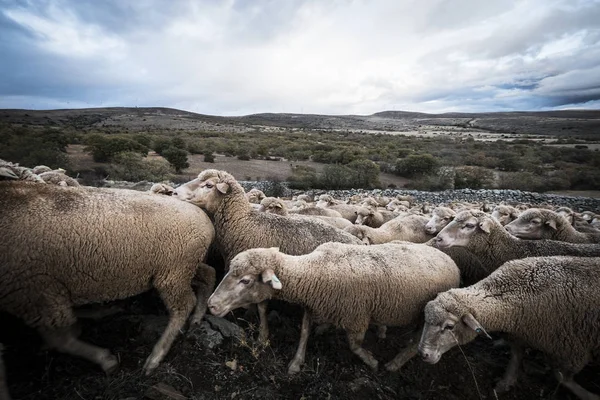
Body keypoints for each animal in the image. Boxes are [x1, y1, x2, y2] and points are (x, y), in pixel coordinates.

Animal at [0, 181, 216, 376]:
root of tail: (203, 217)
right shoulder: (40, 295)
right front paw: (98, 315)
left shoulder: (36, 293)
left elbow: (61, 341)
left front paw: (106, 360)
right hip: (184, 267)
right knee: (209, 275)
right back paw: (197, 317)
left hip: (173, 272)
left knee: (183, 306)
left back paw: (155, 356)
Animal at [173, 168, 360, 340]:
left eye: (209, 185)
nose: (174, 192)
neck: (243, 223)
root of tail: (357, 241)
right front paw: (248, 312)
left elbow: (262, 307)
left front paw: (262, 334)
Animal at [206, 241, 460, 376]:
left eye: (246, 281)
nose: (211, 305)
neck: (316, 270)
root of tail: (447, 257)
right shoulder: (314, 304)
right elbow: (304, 332)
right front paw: (296, 363)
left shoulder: (357, 317)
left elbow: (354, 345)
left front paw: (372, 362)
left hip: (430, 315)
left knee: (418, 339)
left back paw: (394, 363)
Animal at [418, 256, 600, 400]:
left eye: (449, 326)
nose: (423, 354)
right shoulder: (520, 334)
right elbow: (515, 357)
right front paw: (505, 383)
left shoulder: (572, 349)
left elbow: (562, 377)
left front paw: (590, 396)